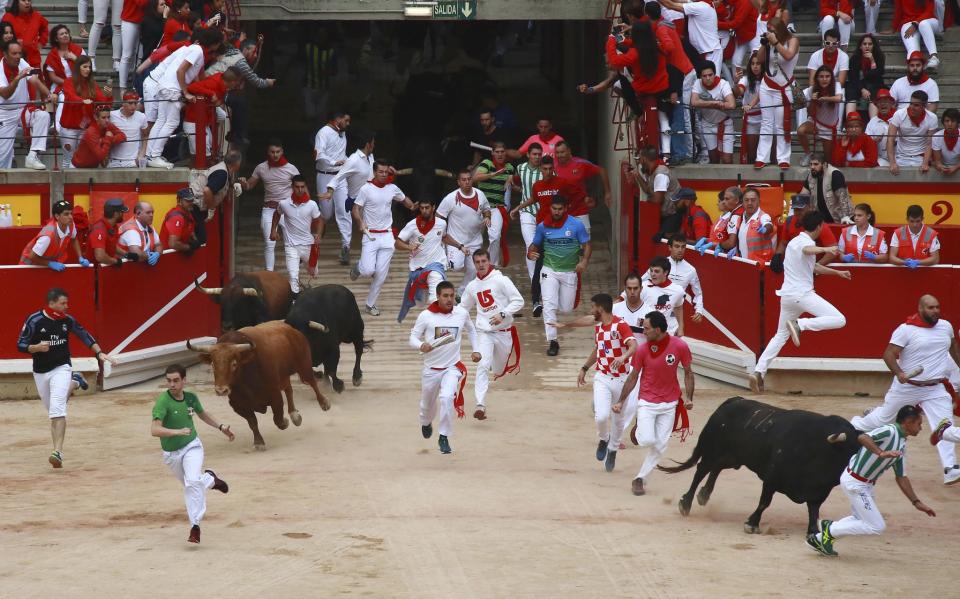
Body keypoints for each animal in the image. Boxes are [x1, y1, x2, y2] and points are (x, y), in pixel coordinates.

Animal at [188, 322, 330, 448]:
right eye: (212, 364)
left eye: (234, 364)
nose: (221, 390)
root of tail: (290, 328)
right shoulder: (238, 405)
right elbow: (252, 422)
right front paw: (259, 442)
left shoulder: (275, 396)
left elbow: (278, 419)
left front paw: (285, 422)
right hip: (283, 376)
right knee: (289, 389)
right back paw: (295, 415)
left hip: (303, 365)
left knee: (311, 382)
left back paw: (323, 404)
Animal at [660, 398, 864, 536]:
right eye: (850, 451)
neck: (819, 447)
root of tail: (733, 401)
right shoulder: (772, 478)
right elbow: (764, 502)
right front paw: (752, 524)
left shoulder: (818, 492)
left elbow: (814, 511)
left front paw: (813, 532)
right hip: (712, 450)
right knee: (701, 470)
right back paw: (686, 503)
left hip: (732, 457)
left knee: (716, 469)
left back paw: (703, 495)